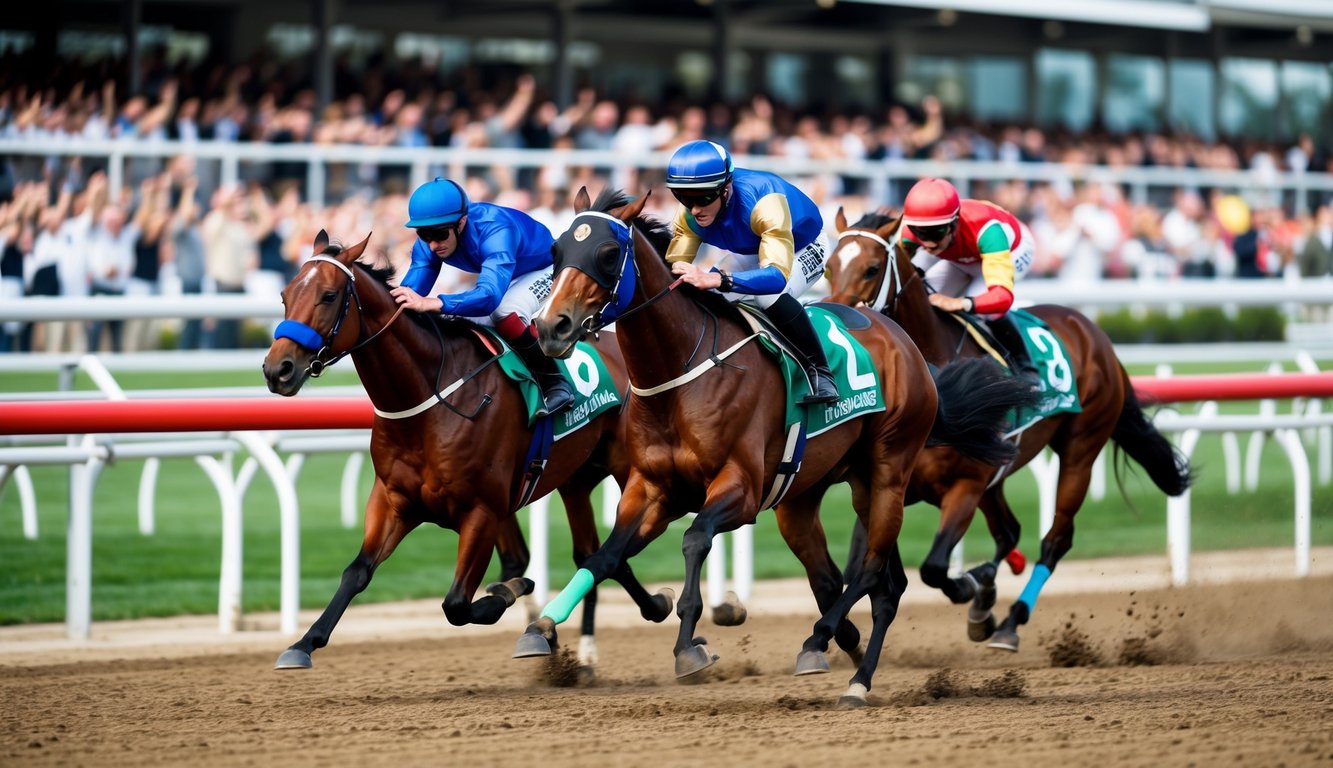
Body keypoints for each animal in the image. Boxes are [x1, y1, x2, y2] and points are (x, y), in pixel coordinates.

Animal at [261, 230, 671, 669]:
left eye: (329, 295)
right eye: (285, 295)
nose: (277, 369)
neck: (429, 401)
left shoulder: (481, 512)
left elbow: (457, 603)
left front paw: (508, 593)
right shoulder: (393, 501)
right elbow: (356, 572)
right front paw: (303, 643)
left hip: (631, 469)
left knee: (616, 549)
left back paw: (654, 610)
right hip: (575, 479)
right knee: (591, 553)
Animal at [511, 189, 1029, 704]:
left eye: (606, 253)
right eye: (556, 251)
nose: (551, 327)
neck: (679, 374)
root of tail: (906, 344)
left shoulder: (740, 490)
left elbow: (695, 538)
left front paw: (689, 645)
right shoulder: (653, 490)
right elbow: (604, 557)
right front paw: (542, 627)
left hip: (890, 470)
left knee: (870, 574)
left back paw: (835, 656)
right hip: (817, 495)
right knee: (875, 582)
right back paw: (852, 662)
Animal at [826, 208, 1194, 648]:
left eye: (871, 268)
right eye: (828, 266)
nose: (837, 321)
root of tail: (1093, 331)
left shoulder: (965, 487)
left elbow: (934, 567)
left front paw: (969, 586)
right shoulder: (888, 486)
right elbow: (859, 567)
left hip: (1080, 450)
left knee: (1054, 539)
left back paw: (1009, 620)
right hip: (997, 475)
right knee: (1009, 532)